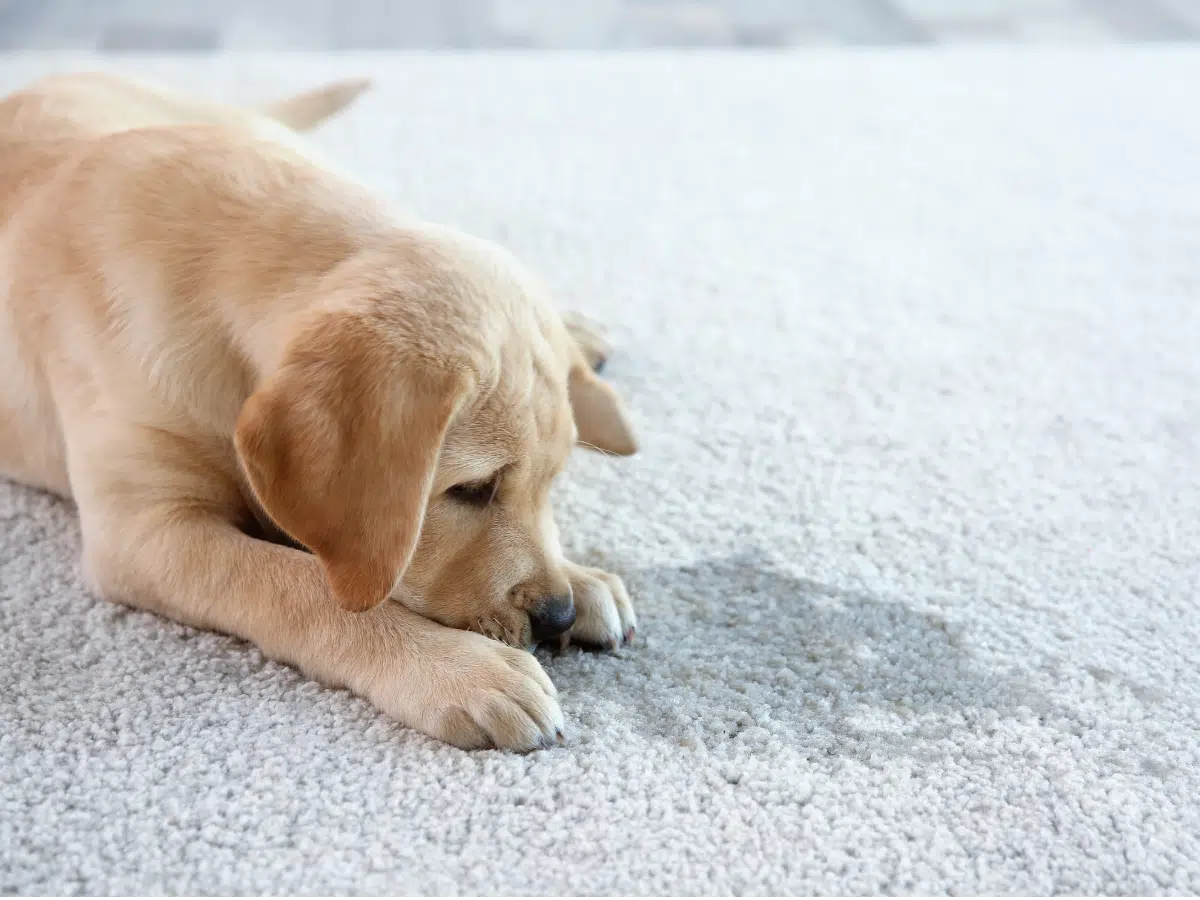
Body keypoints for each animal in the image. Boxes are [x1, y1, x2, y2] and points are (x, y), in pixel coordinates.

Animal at [0, 74, 638, 753]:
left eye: (551, 483)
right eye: (472, 489)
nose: (556, 615)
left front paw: (582, 577)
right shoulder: (145, 531)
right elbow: (301, 584)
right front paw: (458, 668)